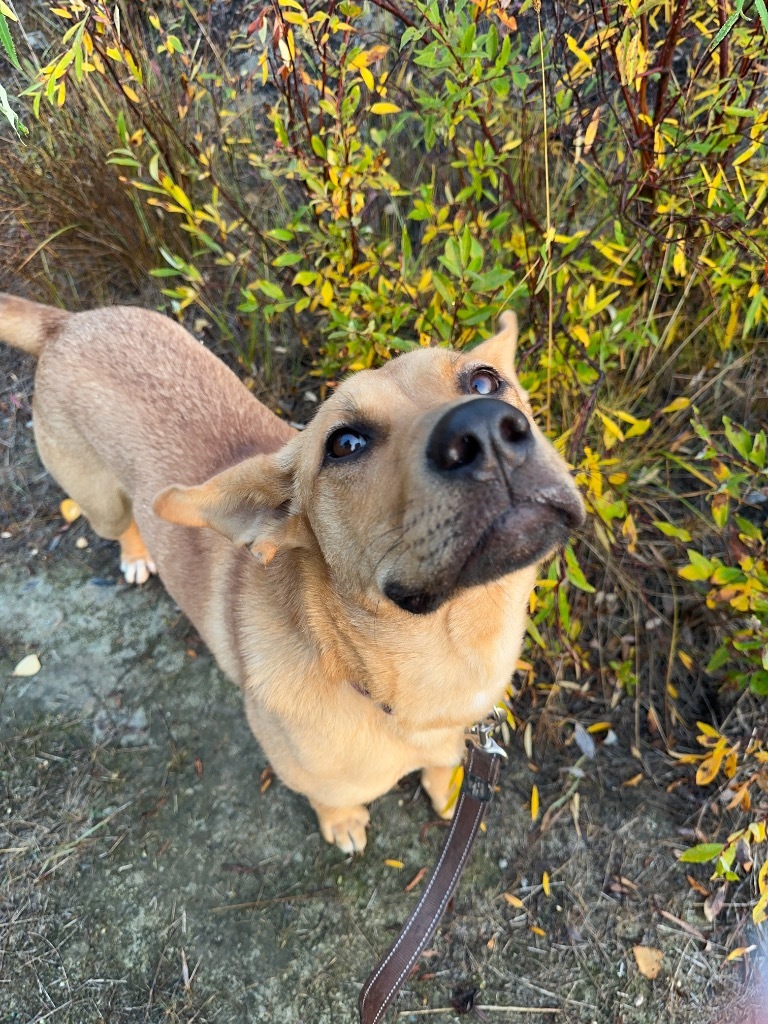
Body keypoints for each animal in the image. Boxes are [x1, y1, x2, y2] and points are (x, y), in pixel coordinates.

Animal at [1, 299, 581, 856]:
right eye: (344, 444)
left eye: (484, 381)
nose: (484, 428)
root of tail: (67, 323)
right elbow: (329, 798)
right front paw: (343, 822)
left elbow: (444, 764)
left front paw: (447, 786)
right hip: (100, 503)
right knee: (119, 524)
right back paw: (136, 554)